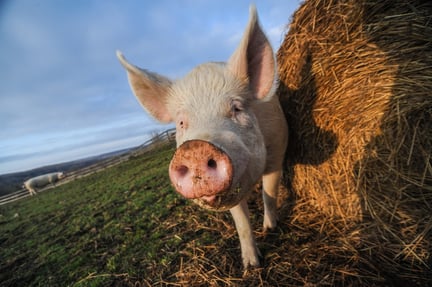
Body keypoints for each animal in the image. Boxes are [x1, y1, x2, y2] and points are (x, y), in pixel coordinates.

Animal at [116, 5, 288, 268]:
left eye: (237, 108)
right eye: (181, 123)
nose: (195, 149)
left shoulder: (277, 152)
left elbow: (270, 194)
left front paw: (270, 229)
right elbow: (241, 222)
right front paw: (251, 266)